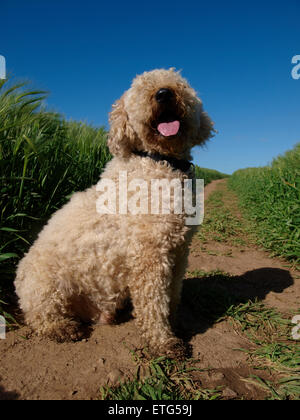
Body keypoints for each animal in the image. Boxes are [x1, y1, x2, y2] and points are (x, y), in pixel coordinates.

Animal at [14, 69, 213, 358]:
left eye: (181, 84)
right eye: (139, 89)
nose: (164, 93)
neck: (157, 161)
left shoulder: (178, 251)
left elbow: (173, 295)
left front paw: (175, 324)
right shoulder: (149, 255)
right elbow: (154, 304)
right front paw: (163, 341)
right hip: (45, 285)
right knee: (40, 316)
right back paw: (62, 328)